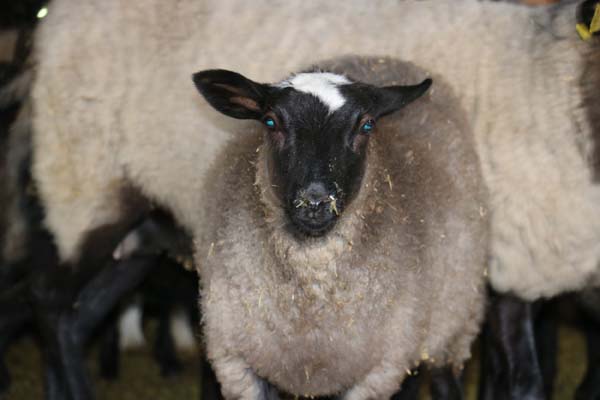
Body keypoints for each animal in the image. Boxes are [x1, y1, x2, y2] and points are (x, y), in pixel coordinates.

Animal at [28, 0, 600, 396]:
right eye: (271, 123)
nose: (315, 203)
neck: (552, 82)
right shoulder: (513, 268)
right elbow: (525, 381)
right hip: (86, 191)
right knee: (52, 309)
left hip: (140, 230)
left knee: (74, 320)